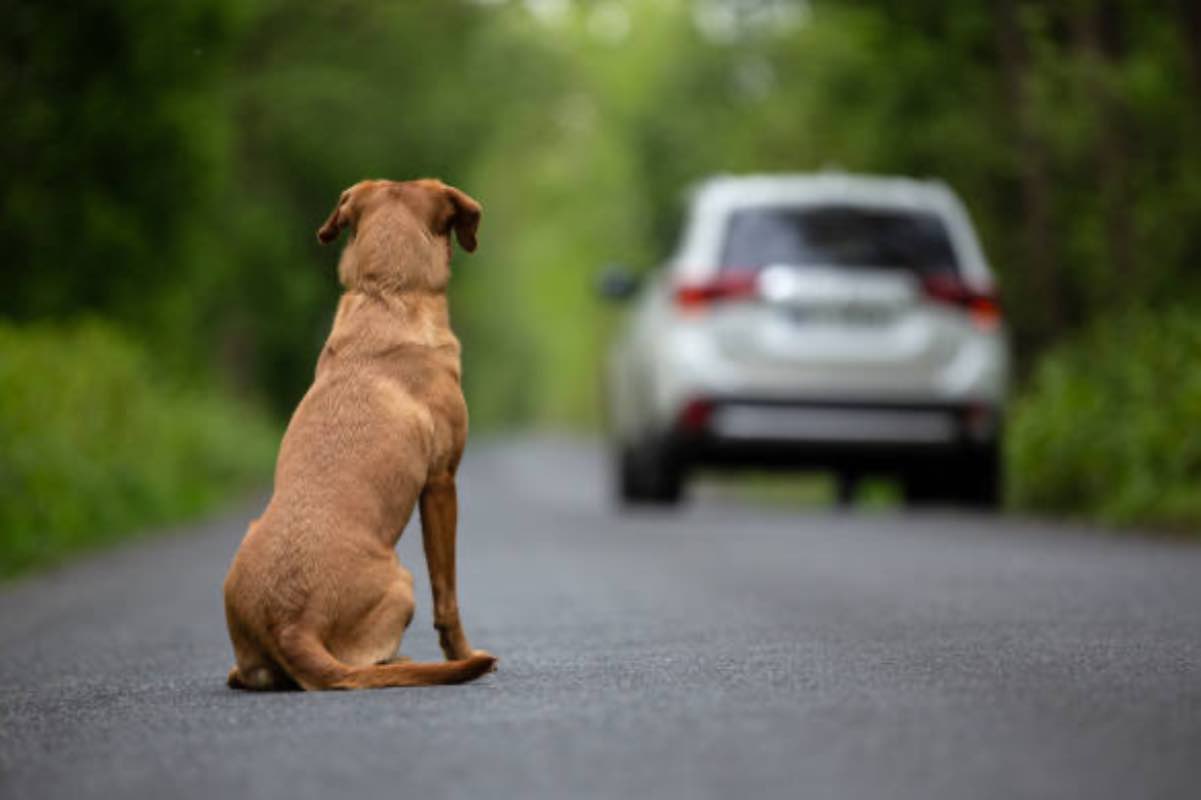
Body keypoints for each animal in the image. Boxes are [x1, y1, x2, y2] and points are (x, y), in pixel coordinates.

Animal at [225, 177, 497, 687]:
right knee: (369, 662)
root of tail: (291, 625)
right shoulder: (441, 482)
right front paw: (462, 652)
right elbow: (447, 594)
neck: (386, 292)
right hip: (403, 580)